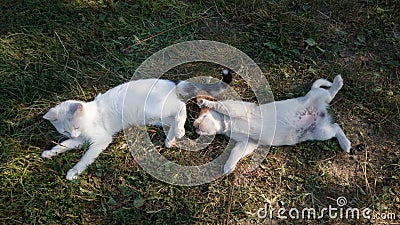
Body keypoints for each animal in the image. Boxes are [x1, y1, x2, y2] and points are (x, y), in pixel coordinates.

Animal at [42, 70, 231, 179]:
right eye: (66, 131)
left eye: (76, 127)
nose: (73, 133)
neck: (91, 114)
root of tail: (172, 82)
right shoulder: (81, 139)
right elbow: (65, 144)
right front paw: (51, 152)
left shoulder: (100, 139)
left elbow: (86, 157)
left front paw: (75, 170)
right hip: (156, 117)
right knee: (173, 119)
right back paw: (170, 139)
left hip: (157, 108)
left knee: (181, 107)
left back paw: (179, 131)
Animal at [194, 75, 350, 174]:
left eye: (201, 115)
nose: (194, 127)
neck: (227, 123)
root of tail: (320, 112)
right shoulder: (248, 142)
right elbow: (235, 152)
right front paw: (229, 166)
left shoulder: (236, 108)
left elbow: (219, 105)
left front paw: (204, 101)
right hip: (321, 133)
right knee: (336, 127)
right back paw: (346, 144)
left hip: (319, 96)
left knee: (330, 93)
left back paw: (338, 81)